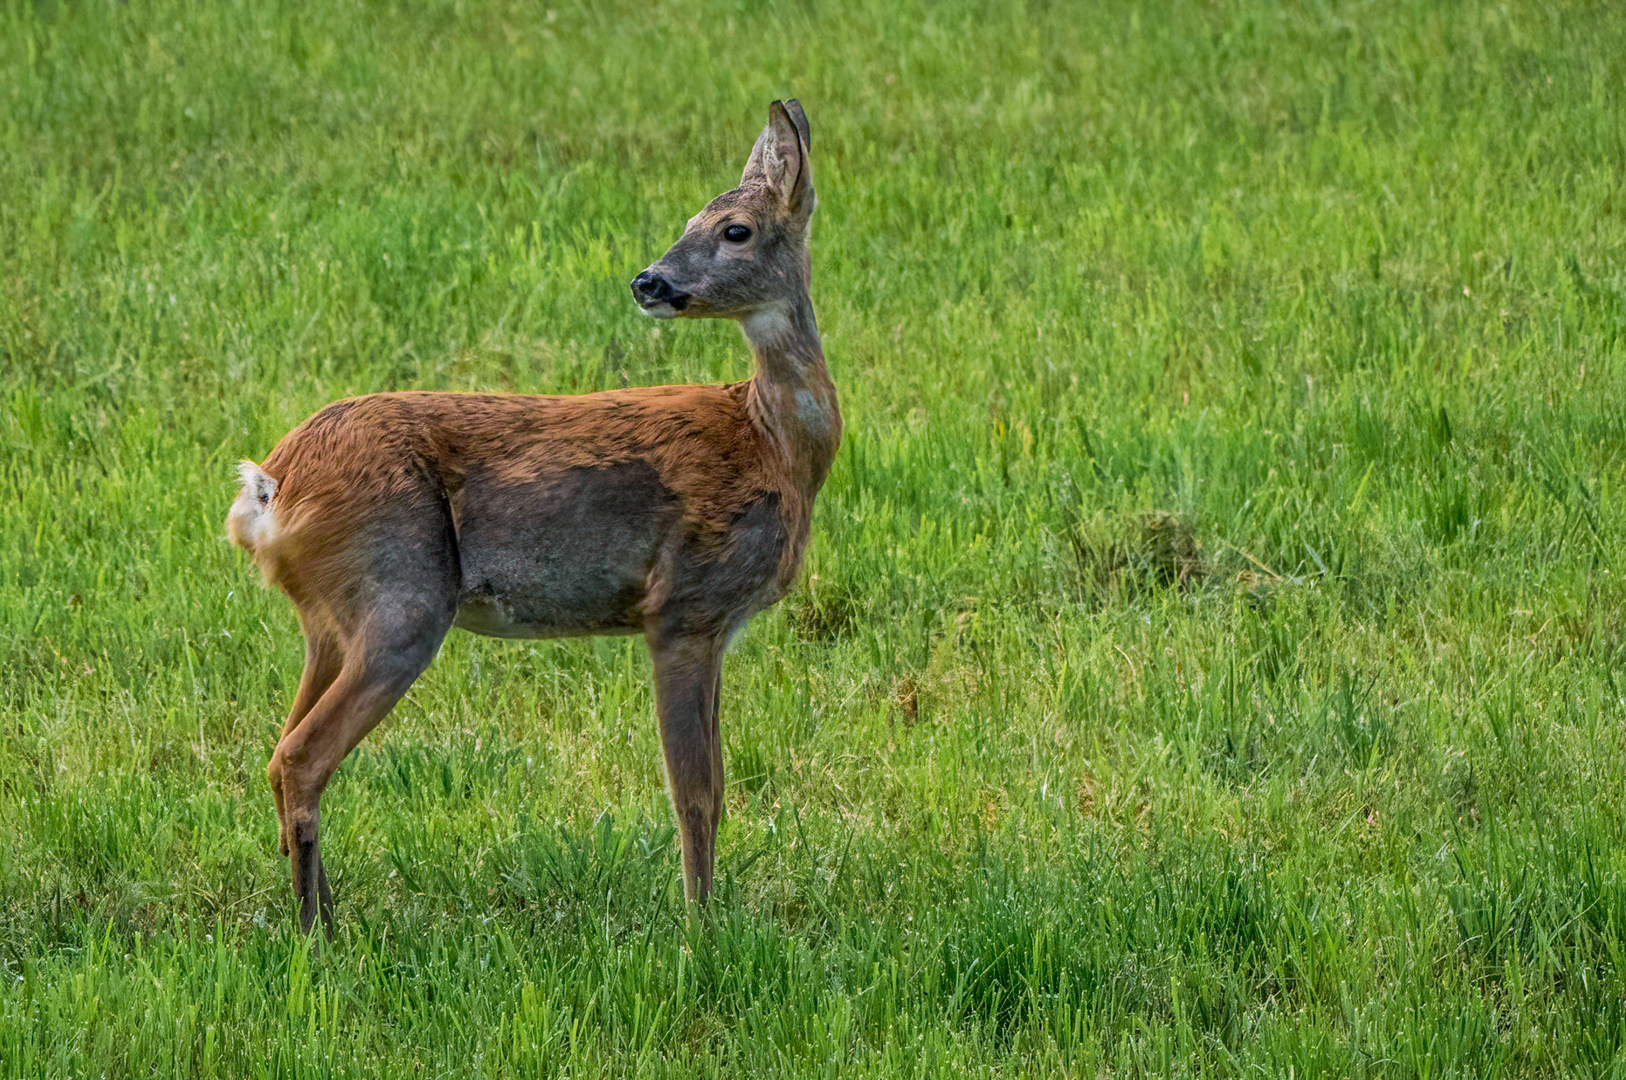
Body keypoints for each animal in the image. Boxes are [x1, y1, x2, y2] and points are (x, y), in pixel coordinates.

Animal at [226, 97, 839, 930]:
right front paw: (700, 928)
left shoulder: (714, 626)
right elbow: (696, 793)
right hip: (401, 601)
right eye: (696, 221)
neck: (771, 443)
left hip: (329, 622)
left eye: (733, 228)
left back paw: (330, 915)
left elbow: (714, 786)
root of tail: (268, 486)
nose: (649, 281)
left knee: (279, 752)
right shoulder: (684, 607)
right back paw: (320, 933)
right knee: (300, 757)